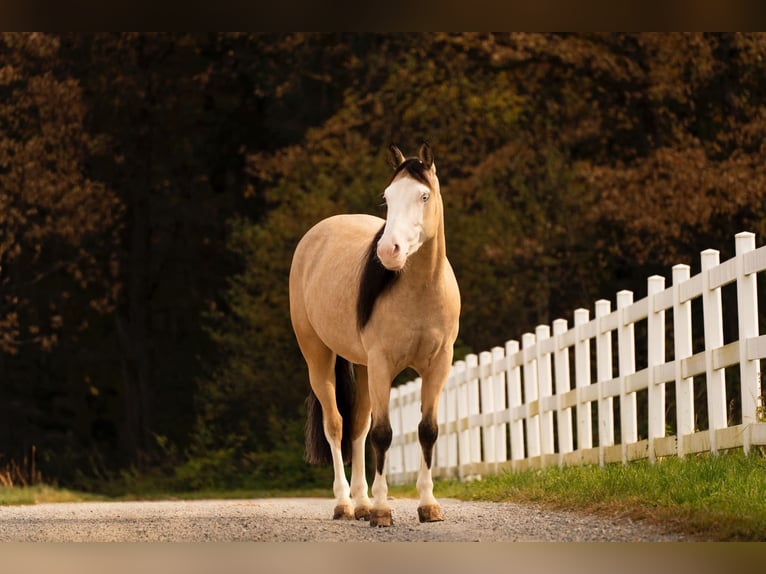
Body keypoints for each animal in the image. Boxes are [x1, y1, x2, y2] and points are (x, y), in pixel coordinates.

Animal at [288, 142, 460, 527]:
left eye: (424, 195)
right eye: (388, 196)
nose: (387, 251)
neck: (421, 290)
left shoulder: (438, 365)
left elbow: (427, 430)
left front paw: (428, 505)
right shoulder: (383, 365)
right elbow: (383, 435)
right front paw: (383, 511)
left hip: (364, 367)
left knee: (357, 427)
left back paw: (362, 503)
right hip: (319, 357)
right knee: (336, 426)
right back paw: (345, 504)